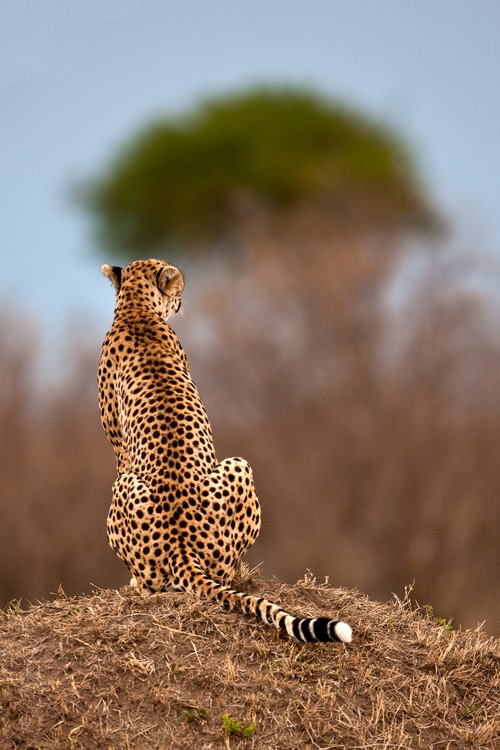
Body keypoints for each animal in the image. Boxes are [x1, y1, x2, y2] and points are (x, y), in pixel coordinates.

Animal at [98, 260, 352, 648]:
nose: (183, 301)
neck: (137, 310)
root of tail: (182, 545)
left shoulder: (119, 449)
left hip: (173, 476)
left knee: (161, 582)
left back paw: (140, 583)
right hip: (235, 469)